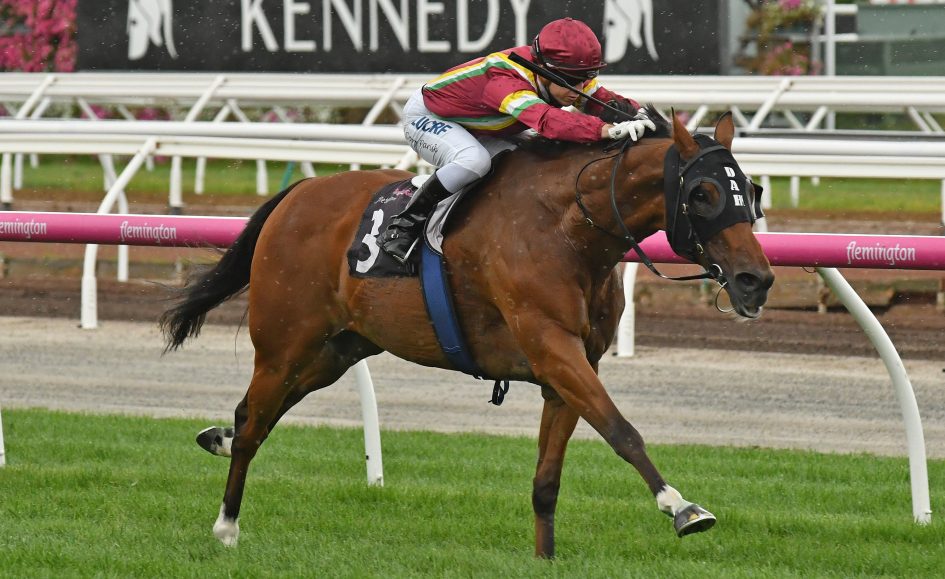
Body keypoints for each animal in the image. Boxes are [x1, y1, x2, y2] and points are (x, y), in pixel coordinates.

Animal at [160, 108, 774, 557]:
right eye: (702, 194)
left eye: (751, 191)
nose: (757, 280)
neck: (568, 229)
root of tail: (297, 194)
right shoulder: (553, 349)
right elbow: (622, 431)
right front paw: (683, 507)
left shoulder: (569, 371)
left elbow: (547, 479)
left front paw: (545, 558)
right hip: (285, 342)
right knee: (256, 423)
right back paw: (226, 527)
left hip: (336, 350)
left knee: (252, 415)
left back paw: (218, 438)